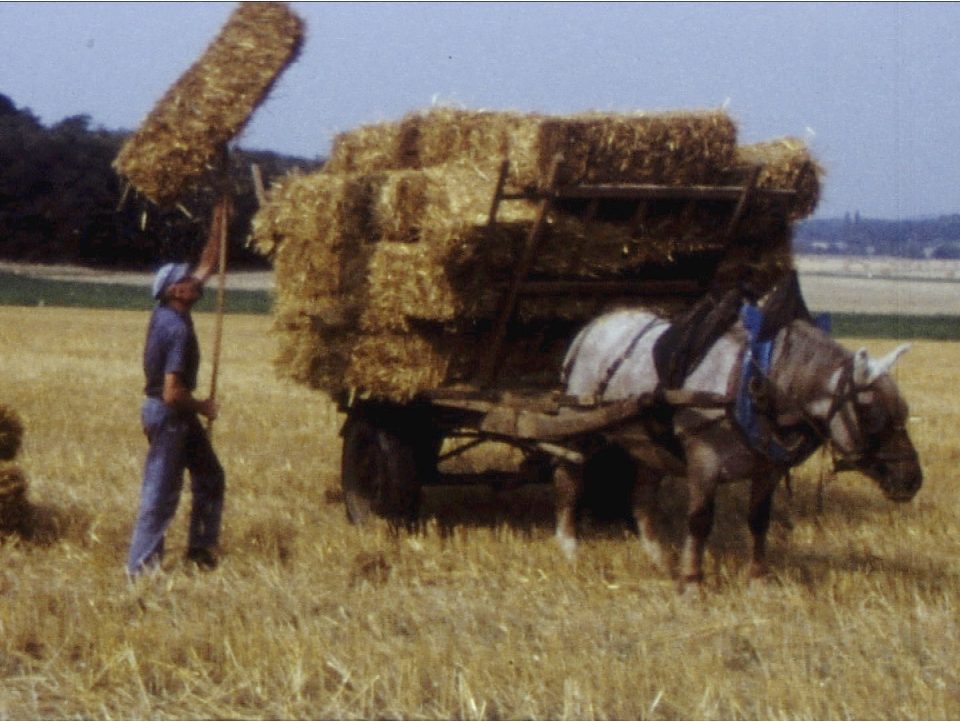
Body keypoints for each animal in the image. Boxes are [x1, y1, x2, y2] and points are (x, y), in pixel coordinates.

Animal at [560, 306, 928, 588]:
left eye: (903, 412)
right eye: (870, 414)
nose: (911, 479)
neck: (754, 385)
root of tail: (596, 324)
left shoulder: (767, 470)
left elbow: (759, 520)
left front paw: (758, 579)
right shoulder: (704, 462)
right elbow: (699, 520)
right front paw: (692, 582)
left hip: (649, 445)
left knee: (641, 498)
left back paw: (660, 559)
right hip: (578, 425)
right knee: (570, 479)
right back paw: (568, 543)